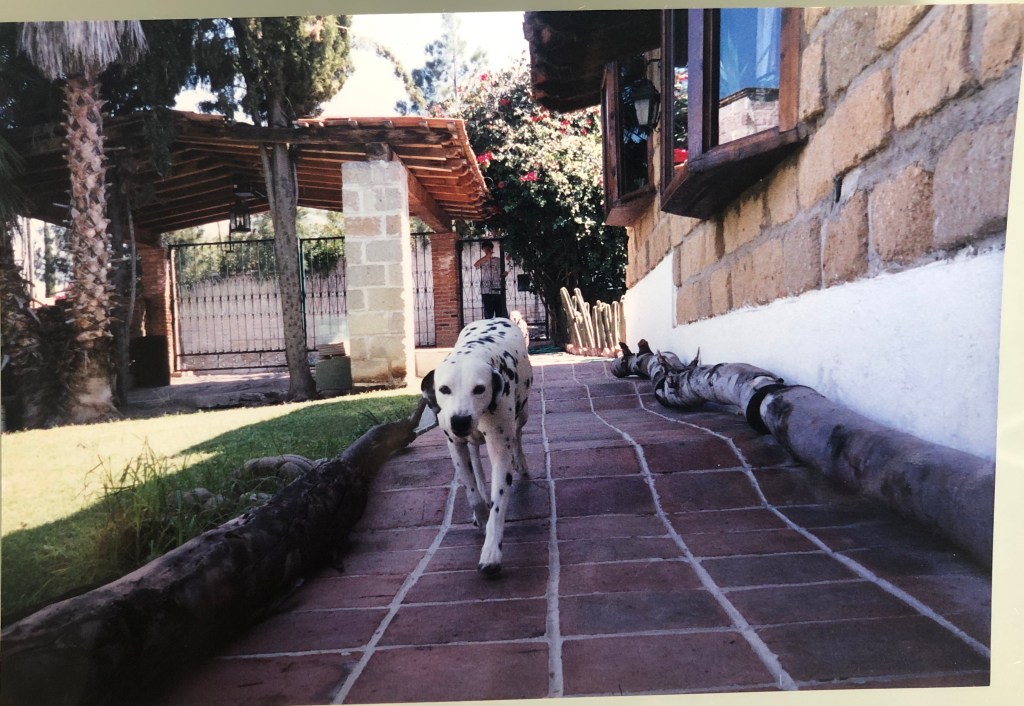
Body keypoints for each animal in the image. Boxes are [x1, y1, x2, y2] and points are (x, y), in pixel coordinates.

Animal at [421, 317, 533, 576]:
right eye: (444, 389)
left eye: (479, 389)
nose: (460, 420)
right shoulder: (455, 445)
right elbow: (471, 491)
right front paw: (480, 514)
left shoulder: (499, 447)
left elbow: (499, 504)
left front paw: (491, 552)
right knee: (476, 461)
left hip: (522, 414)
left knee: (518, 435)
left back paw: (520, 461)